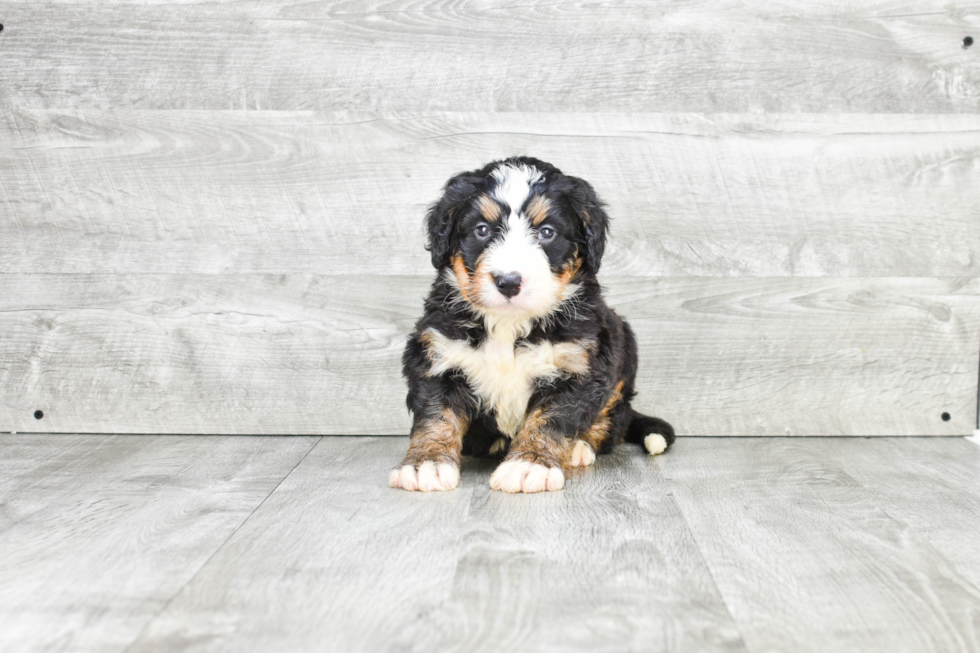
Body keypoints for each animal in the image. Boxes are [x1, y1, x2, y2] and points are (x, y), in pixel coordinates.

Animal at [390, 157, 672, 494]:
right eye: (482, 230)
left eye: (547, 232)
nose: (508, 281)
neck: (509, 324)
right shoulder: (437, 354)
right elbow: (436, 415)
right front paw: (426, 463)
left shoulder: (579, 363)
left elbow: (552, 418)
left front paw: (529, 463)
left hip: (622, 350)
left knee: (611, 419)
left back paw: (580, 447)